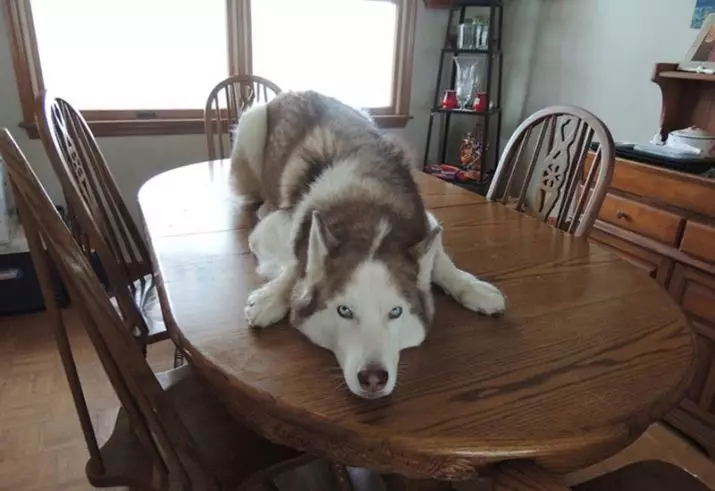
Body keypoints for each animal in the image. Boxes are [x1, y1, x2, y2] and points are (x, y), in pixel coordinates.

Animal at [232, 91, 506, 400]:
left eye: (396, 312)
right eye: (344, 311)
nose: (373, 379)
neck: (370, 211)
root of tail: (294, 92)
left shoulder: (427, 221)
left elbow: (441, 261)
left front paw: (472, 287)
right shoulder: (273, 229)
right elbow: (297, 263)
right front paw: (272, 296)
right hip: (252, 124)